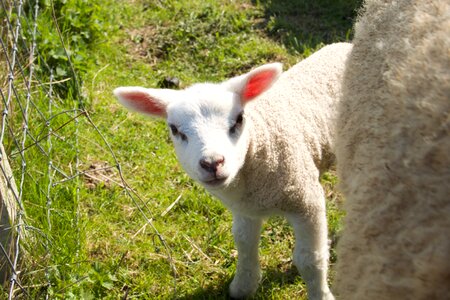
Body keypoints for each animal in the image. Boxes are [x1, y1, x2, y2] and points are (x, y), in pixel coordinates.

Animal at [112, 42, 352, 300]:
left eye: (239, 119)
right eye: (175, 130)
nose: (212, 163)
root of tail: (345, 44)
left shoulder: (306, 200)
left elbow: (310, 259)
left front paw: (321, 294)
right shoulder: (245, 209)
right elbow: (244, 245)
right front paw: (243, 287)